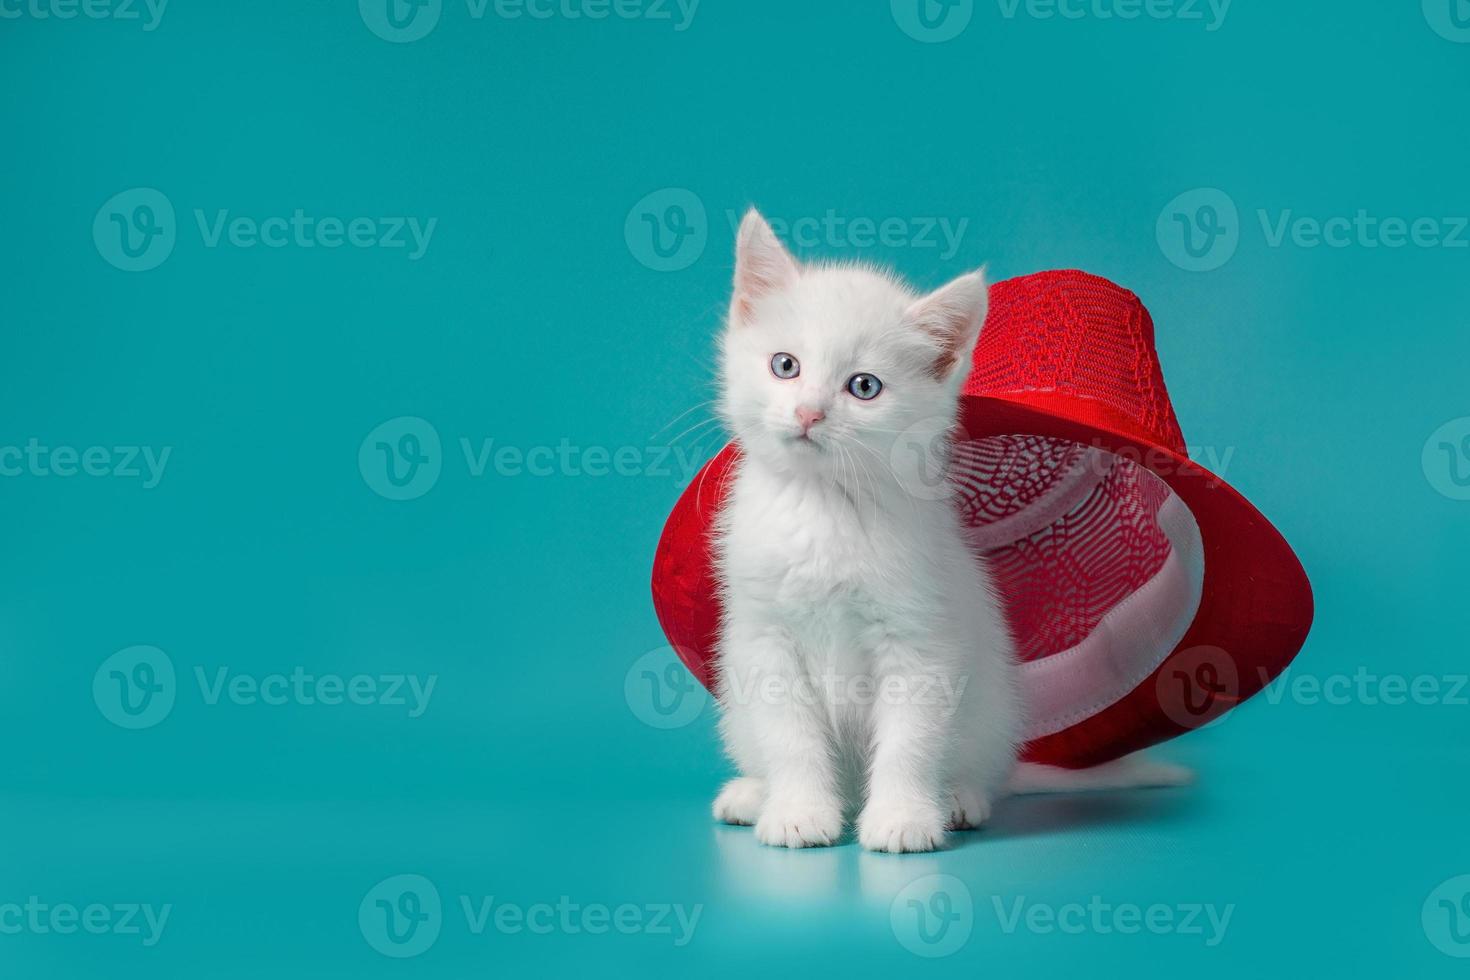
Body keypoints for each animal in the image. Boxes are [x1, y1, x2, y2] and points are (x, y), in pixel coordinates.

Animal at [711, 211, 1023, 852]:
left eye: (864, 387)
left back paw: (957, 799)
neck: (824, 507)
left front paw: (903, 817)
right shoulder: (765, 638)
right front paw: (799, 811)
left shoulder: (921, 637)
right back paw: (753, 795)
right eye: (785, 365)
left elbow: (910, 738)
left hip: (992, 710)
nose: (808, 412)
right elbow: (790, 734)